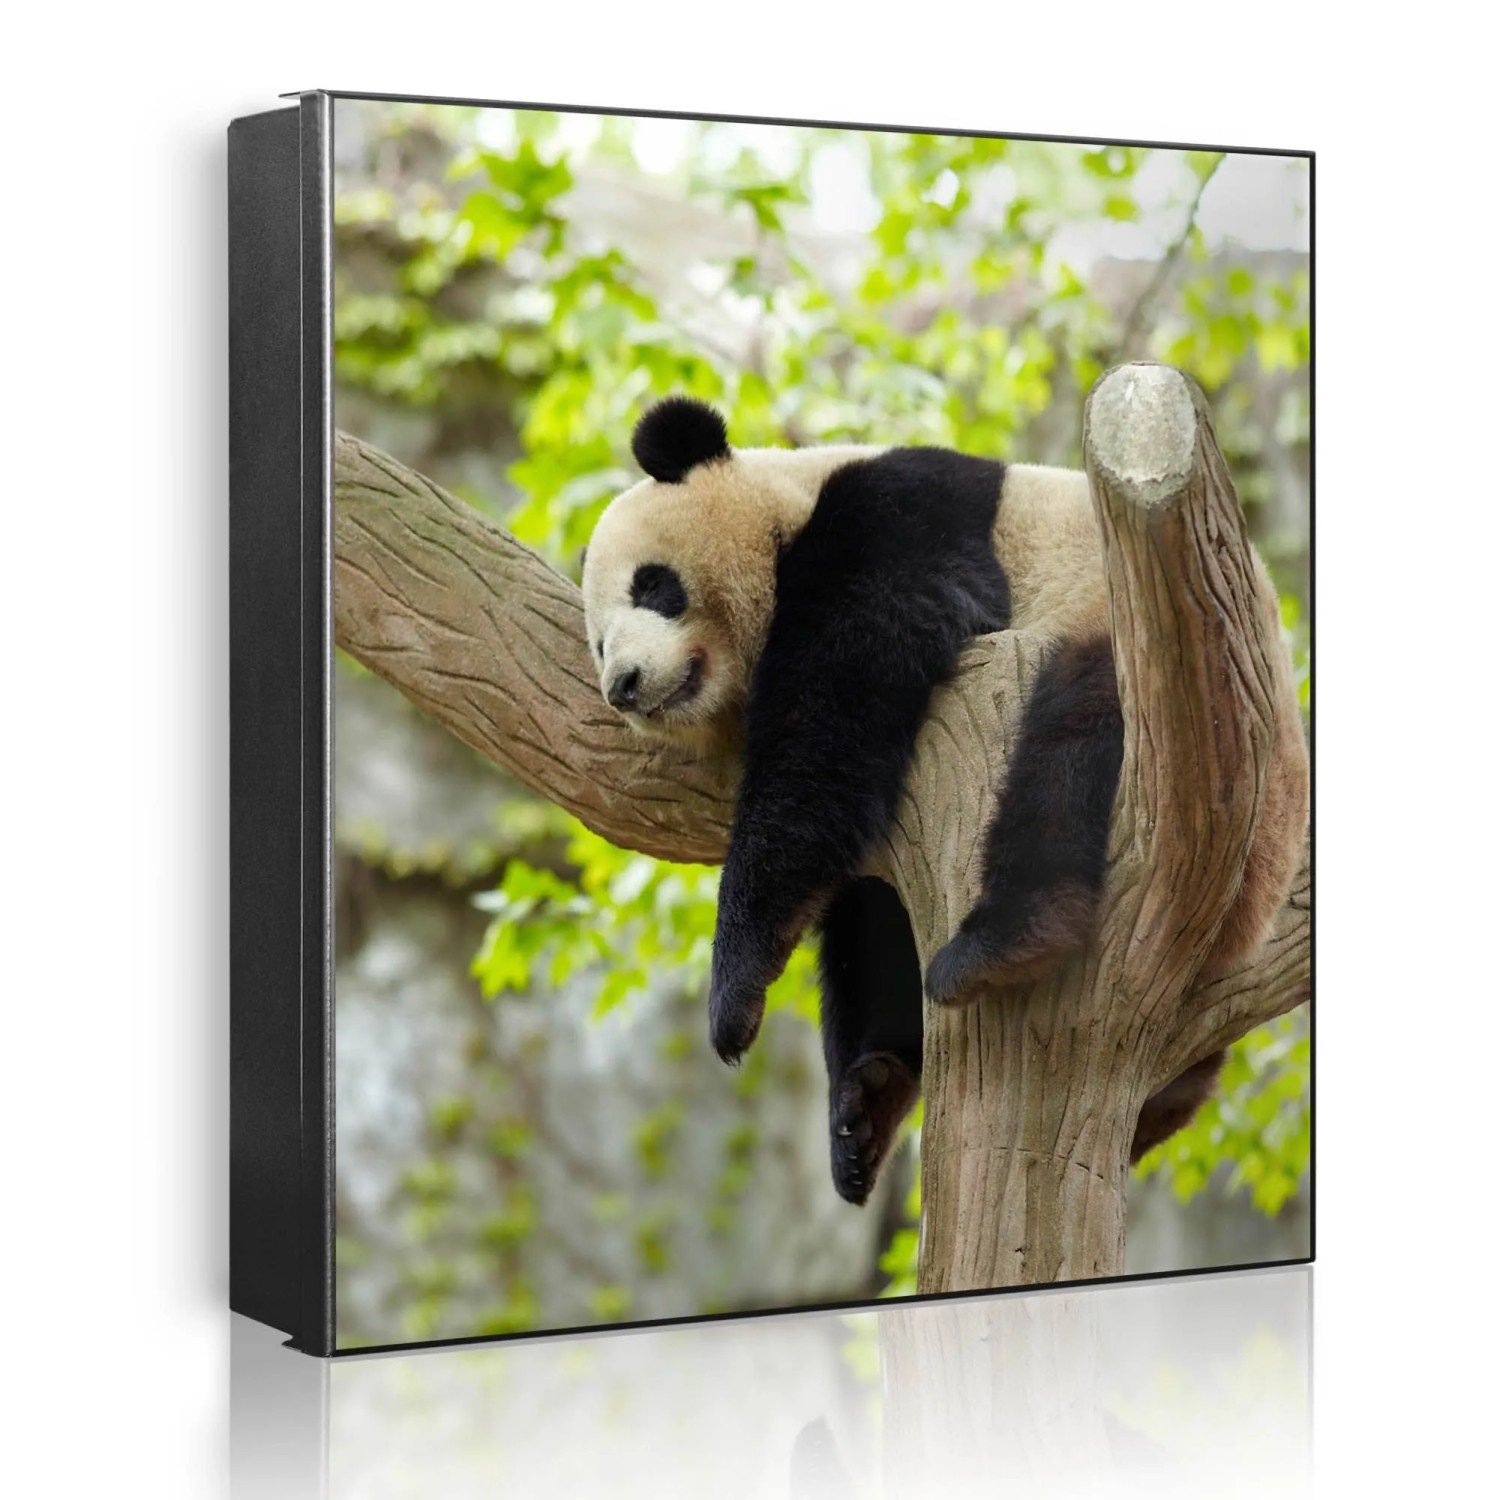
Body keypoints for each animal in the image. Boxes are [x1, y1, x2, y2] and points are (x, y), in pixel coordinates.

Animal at [581, 395, 1307, 1205]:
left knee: (1074, 740)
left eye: (652, 585)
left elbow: (837, 696)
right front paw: (859, 1106)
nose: (625, 686)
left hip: (1173, 695)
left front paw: (734, 992)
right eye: (599, 645)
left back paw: (1005, 942)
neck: (789, 500)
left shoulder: (900, 520)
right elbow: (864, 907)